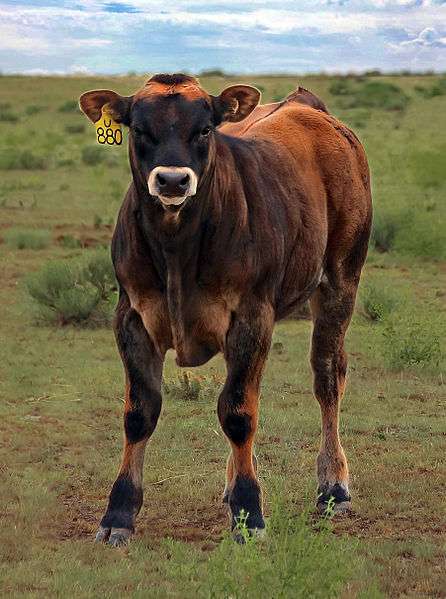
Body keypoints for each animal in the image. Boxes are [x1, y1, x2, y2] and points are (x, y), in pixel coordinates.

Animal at [78, 72, 372, 548]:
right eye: (139, 129)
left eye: (204, 129)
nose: (173, 181)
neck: (177, 248)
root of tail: (307, 107)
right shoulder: (132, 318)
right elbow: (139, 413)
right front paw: (119, 513)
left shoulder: (251, 320)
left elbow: (238, 413)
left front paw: (249, 514)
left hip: (341, 280)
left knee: (328, 378)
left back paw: (334, 486)